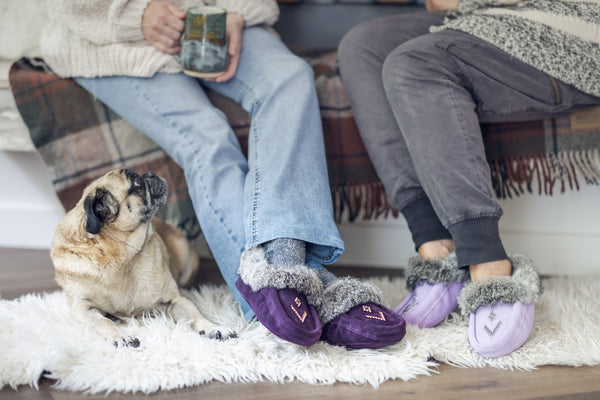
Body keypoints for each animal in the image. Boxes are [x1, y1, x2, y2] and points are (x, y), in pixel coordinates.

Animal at [51, 169, 234, 346]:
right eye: (137, 182)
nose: (150, 174)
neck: (124, 257)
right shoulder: (83, 308)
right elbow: (103, 322)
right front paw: (120, 336)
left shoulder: (176, 300)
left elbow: (196, 314)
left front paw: (213, 327)